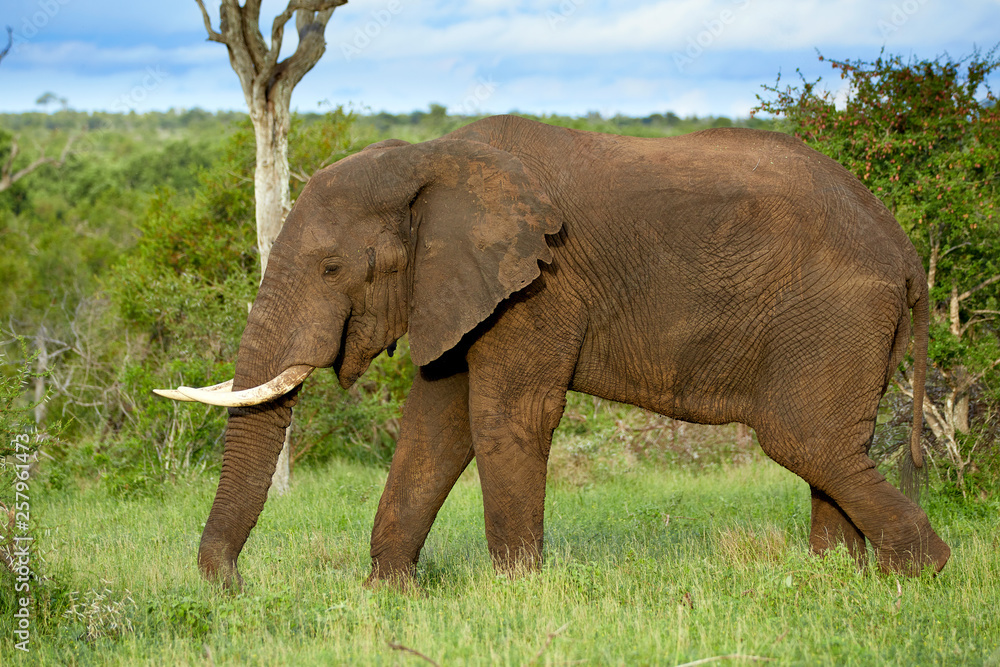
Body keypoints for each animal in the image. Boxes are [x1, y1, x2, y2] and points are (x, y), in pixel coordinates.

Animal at [156, 114, 950, 587]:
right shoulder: (460, 288)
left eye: (330, 268)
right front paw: (391, 593)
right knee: (828, 446)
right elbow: (434, 425)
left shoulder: (538, 286)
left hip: (834, 314)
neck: (434, 159)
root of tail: (905, 248)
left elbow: (505, 416)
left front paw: (516, 592)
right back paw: (834, 580)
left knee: (805, 439)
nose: (231, 586)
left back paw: (918, 573)